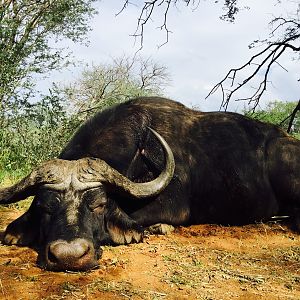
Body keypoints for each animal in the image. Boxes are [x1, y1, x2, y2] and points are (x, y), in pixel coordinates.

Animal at [0, 97, 300, 270]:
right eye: (45, 206)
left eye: (98, 205)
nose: (68, 256)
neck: (141, 149)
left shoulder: (173, 207)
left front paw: (158, 227)